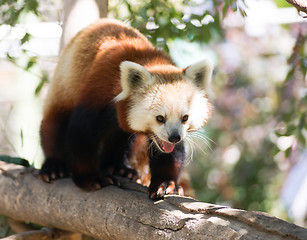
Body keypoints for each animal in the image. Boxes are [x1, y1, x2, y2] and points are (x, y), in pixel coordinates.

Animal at [39, 18, 214, 199]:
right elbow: (81, 136)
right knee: (53, 126)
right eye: (160, 118)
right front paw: (89, 178)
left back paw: (117, 167)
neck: (150, 60)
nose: (174, 137)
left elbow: (169, 152)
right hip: (62, 91)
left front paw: (166, 183)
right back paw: (54, 166)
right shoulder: (97, 94)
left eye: (185, 118)